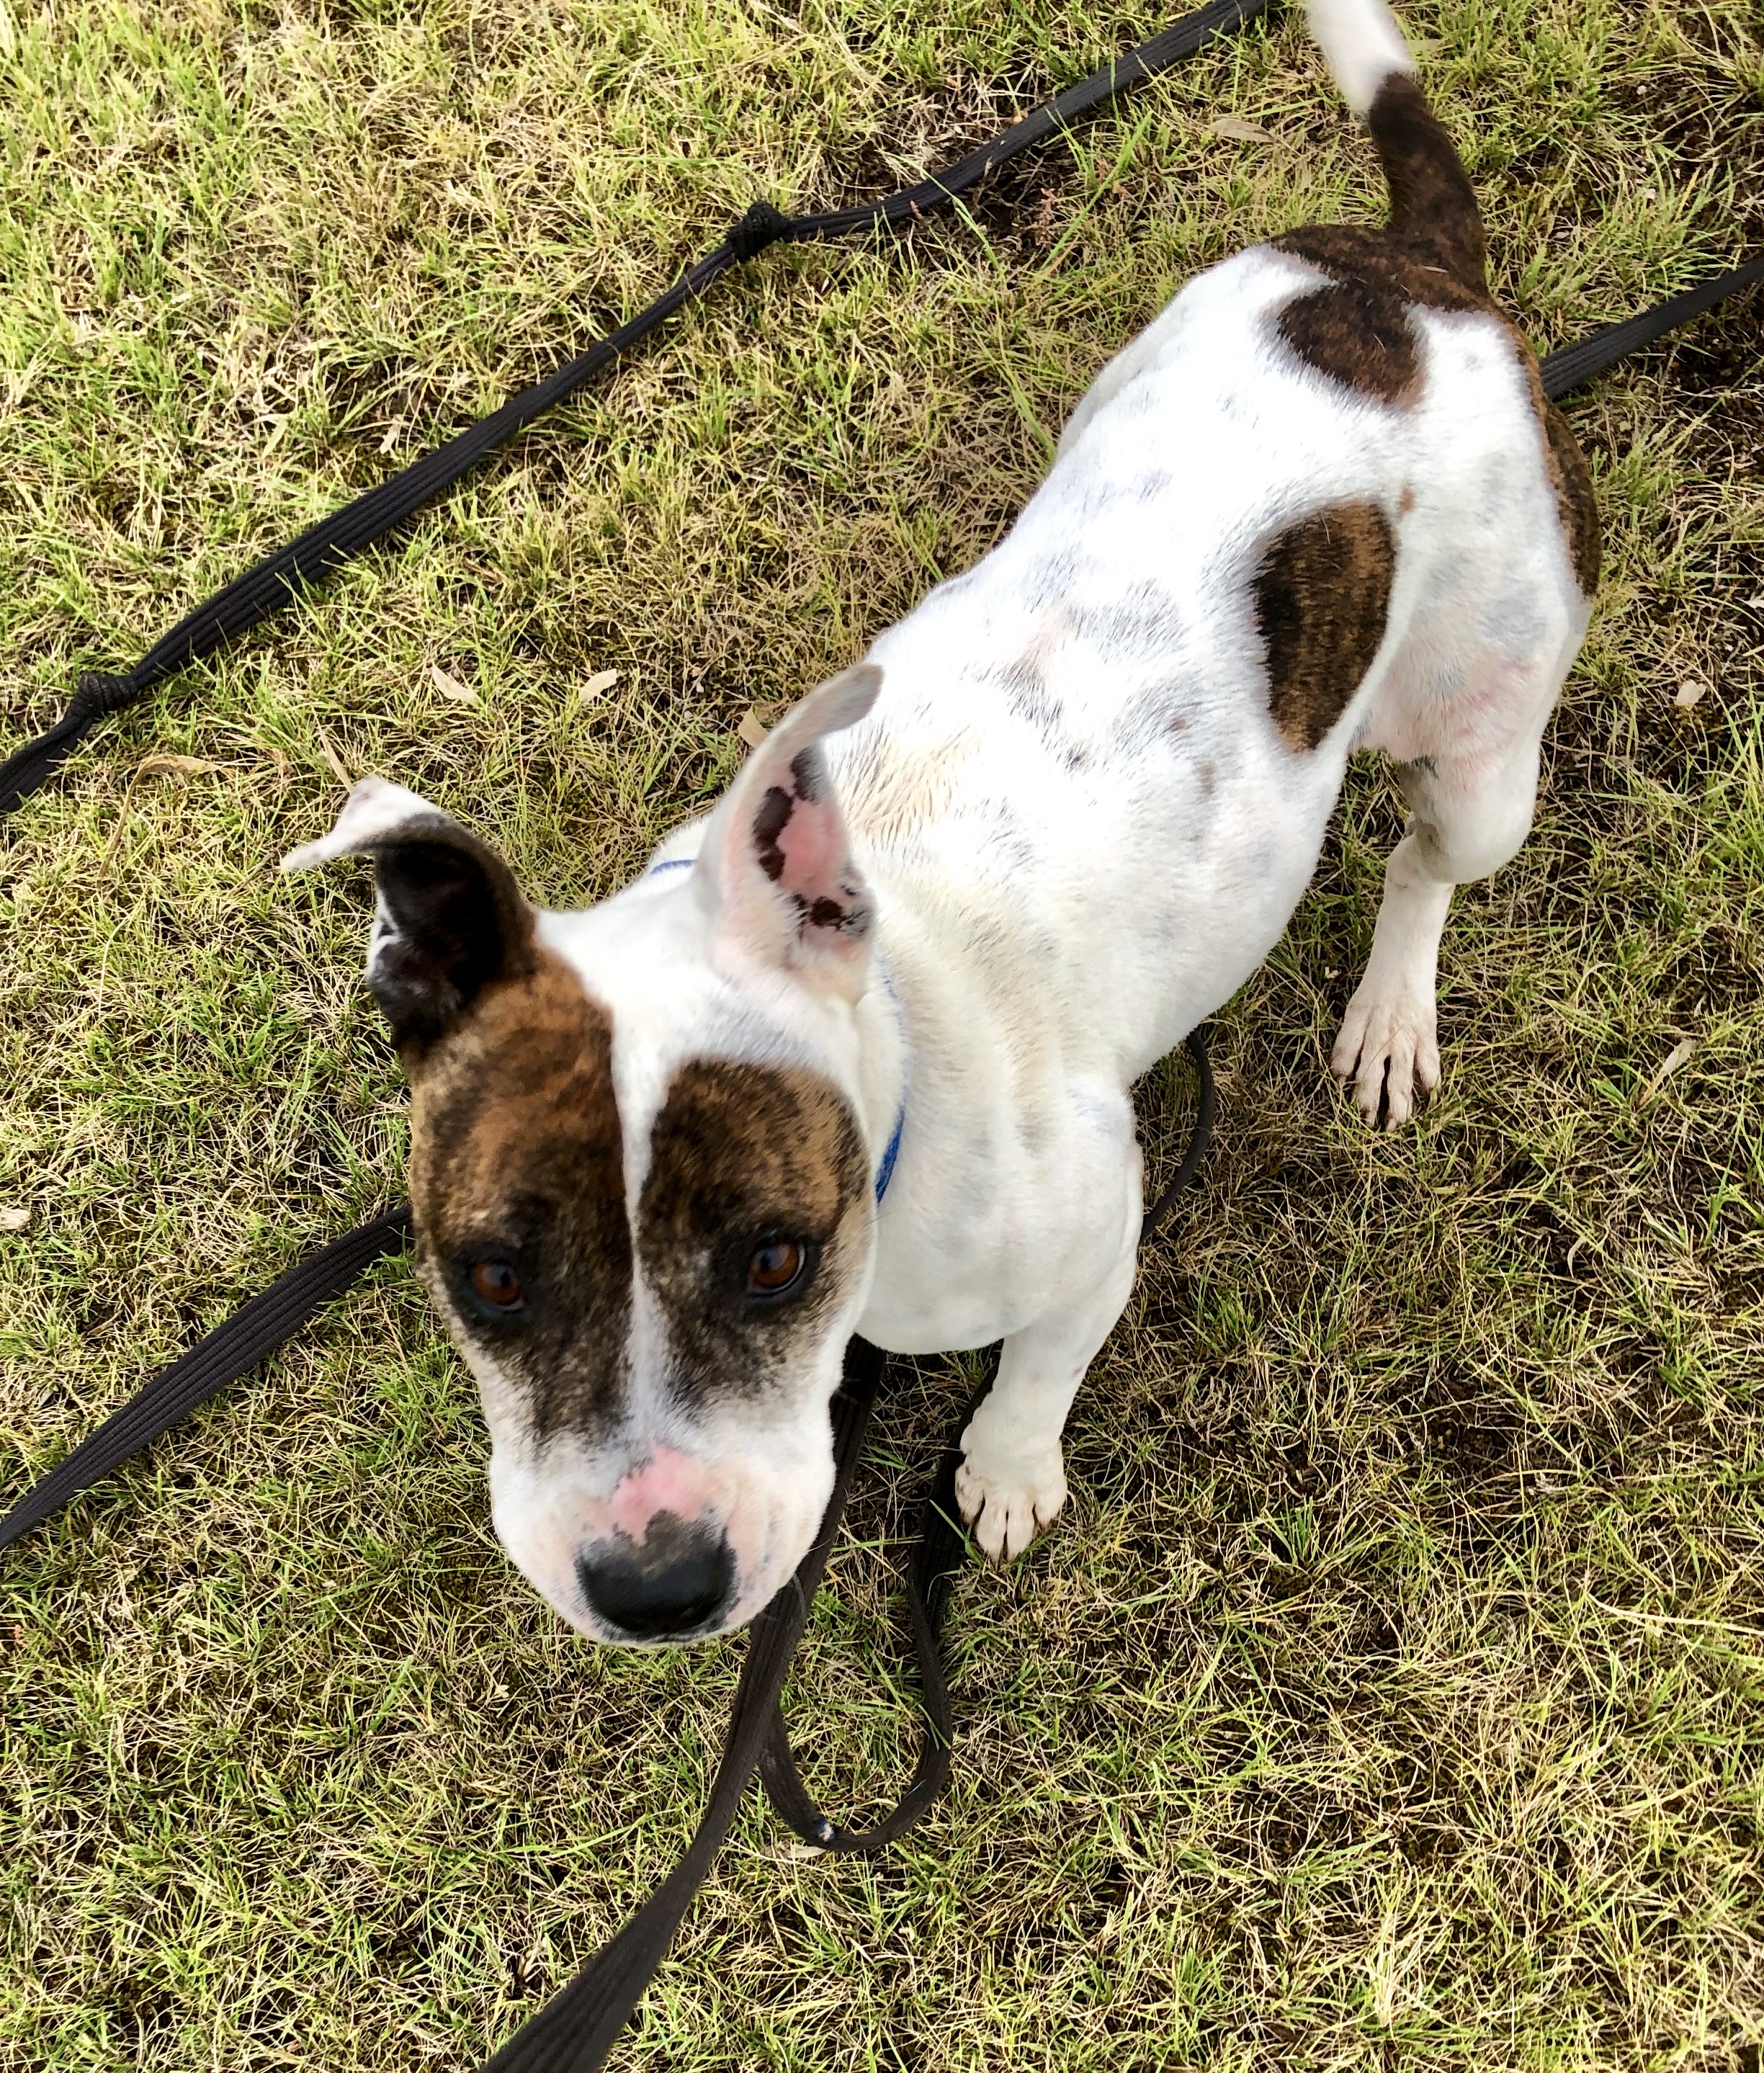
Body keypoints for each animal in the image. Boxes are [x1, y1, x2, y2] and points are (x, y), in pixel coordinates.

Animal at [283, 0, 1598, 1646]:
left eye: (772, 1257)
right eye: (493, 1276)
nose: (654, 1581)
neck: (895, 1042)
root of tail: (1419, 281)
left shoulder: (1096, 1229)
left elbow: (1040, 1368)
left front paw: (1007, 1469)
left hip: (1488, 743)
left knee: (1426, 859)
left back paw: (1386, 1013)